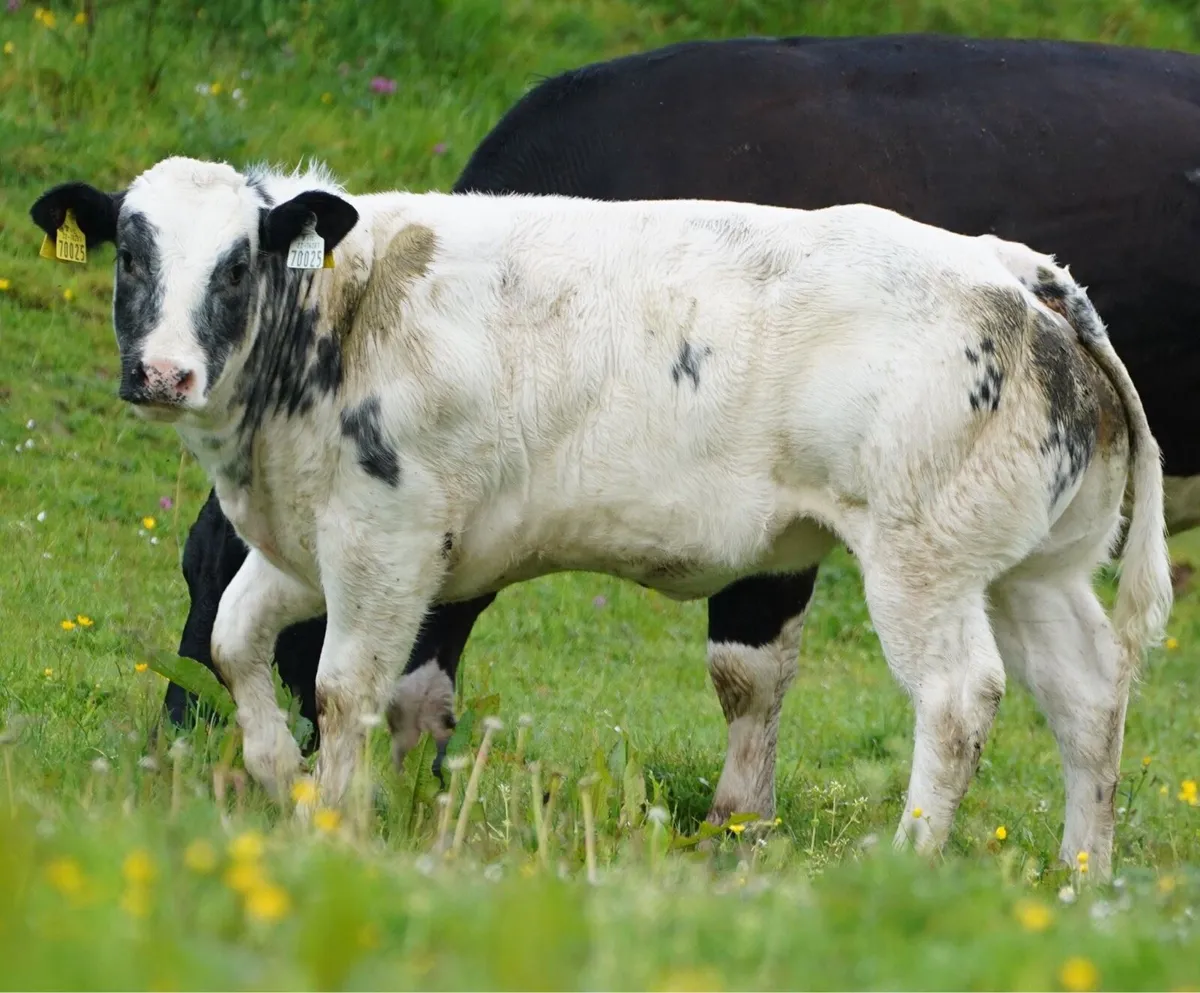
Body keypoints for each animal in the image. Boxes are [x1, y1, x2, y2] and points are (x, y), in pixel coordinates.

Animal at [31, 154, 1171, 876]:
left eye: (236, 266)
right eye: (131, 255)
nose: (164, 373)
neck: (345, 314)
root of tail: (1013, 267)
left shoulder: (385, 537)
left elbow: (346, 688)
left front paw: (337, 824)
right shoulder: (306, 543)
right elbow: (235, 641)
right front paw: (280, 779)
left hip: (922, 559)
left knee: (958, 699)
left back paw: (910, 861)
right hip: (1029, 569)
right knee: (1088, 700)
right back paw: (1082, 873)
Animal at [165, 33, 1200, 816]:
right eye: (187, 568)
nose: (176, 753)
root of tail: (1029, 274)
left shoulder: (768, 529)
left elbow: (747, 672)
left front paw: (737, 821)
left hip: (932, 555)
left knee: (963, 699)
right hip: (1036, 559)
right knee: (1090, 693)